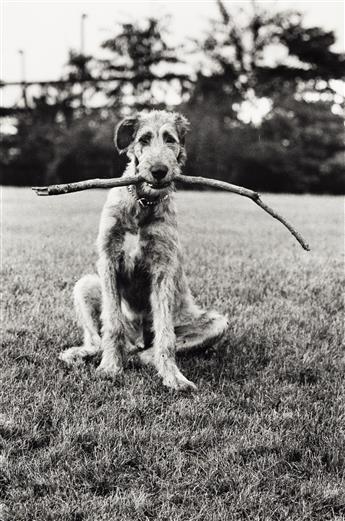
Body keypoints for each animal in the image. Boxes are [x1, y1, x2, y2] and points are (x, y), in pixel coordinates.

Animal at [59, 110, 227, 390]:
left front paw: (173, 376)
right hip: (86, 285)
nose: (159, 171)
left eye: (170, 139)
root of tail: (136, 339)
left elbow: (165, 335)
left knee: (153, 347)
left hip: (215, 322)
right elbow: (112, 324)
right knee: (99, 338)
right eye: (144, 139)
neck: (143, 202)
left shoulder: (162, 268)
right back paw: (85, 353)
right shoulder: (108, 261)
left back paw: (141, 357)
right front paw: (110, 367)